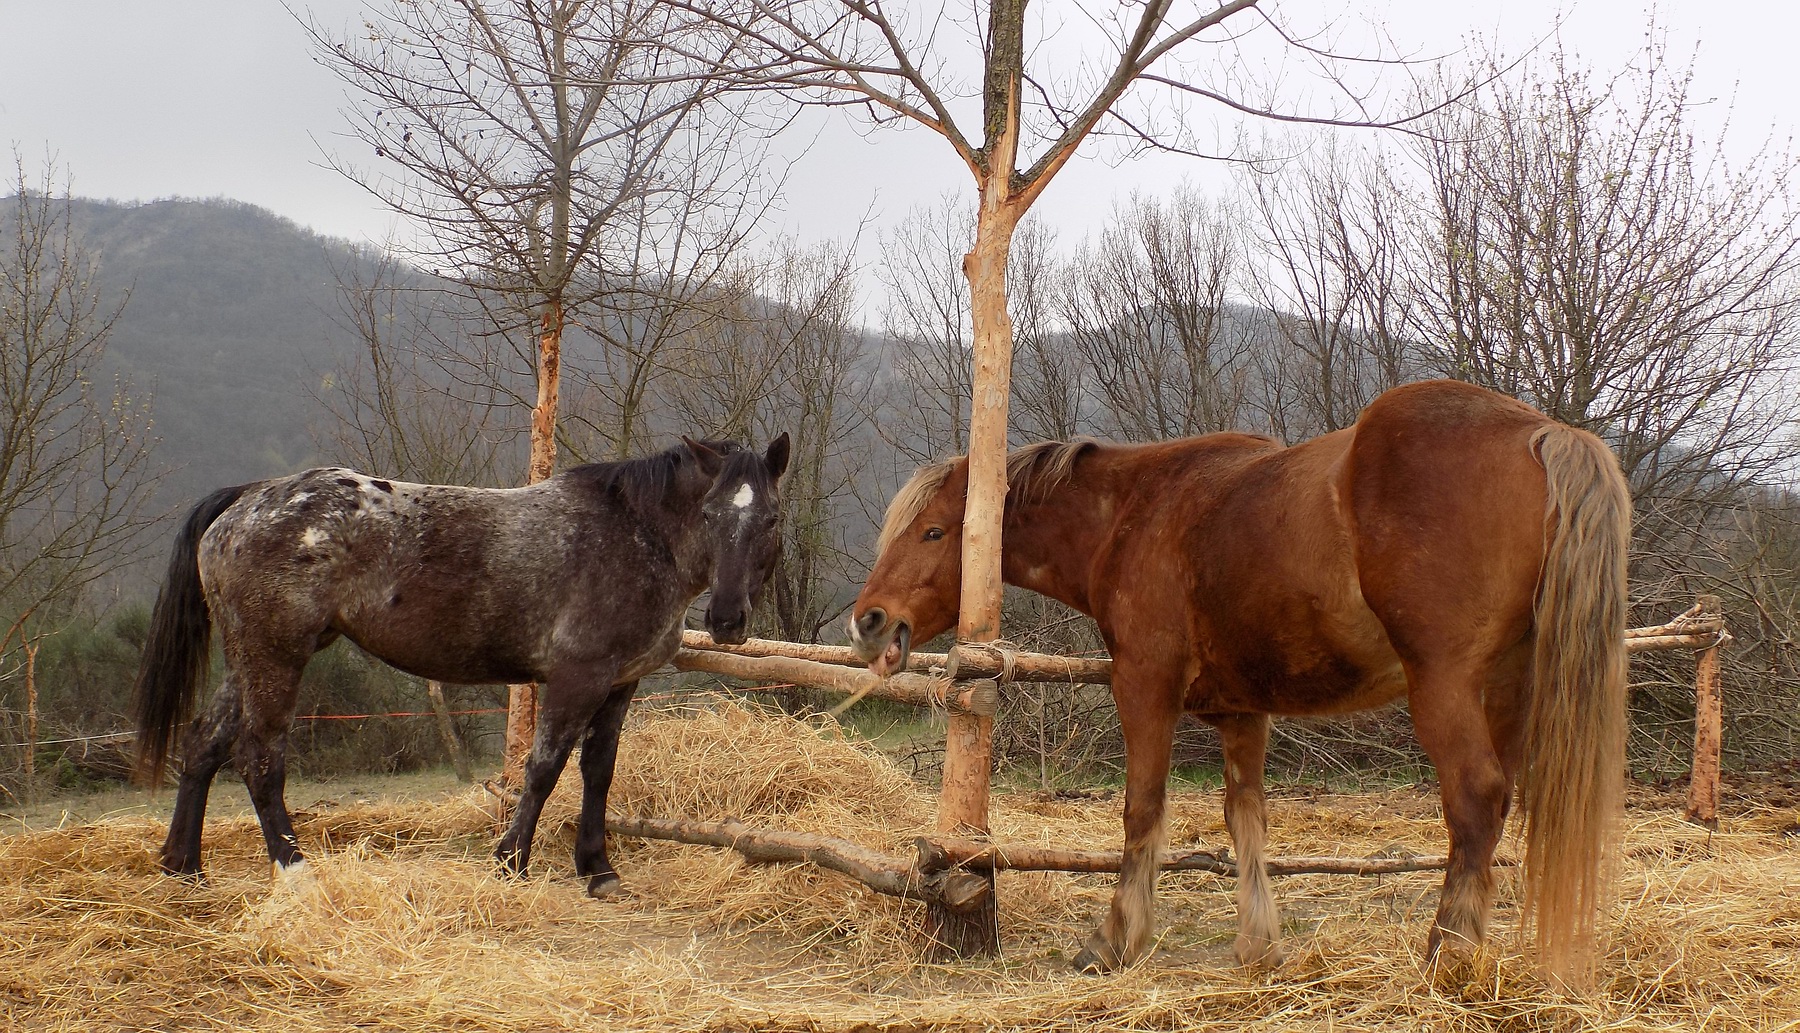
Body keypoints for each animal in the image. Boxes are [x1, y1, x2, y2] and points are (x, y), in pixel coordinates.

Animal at [133, 434, 790, 895]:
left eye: (770, 519)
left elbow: (597, 772)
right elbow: (544, 769)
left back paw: (184, 866)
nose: (728, 619)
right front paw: (510, 861)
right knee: (259, 760)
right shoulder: (576, 680)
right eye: (709, 515)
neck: (633, 534)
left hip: (247, 658)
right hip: (277, 657)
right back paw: (296, 871)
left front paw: (597, 867)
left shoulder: (619, 685)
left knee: (203, 744)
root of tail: (247, 497)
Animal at [848, 380, 1630, 979]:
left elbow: (1142, 810)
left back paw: (1445, 955)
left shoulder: (1144, 689)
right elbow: (1245, 817)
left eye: (934, 531)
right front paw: (1259, 946)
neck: (1133, 513)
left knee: (1475, 802)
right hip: (1509, 691)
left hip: (1444, 688)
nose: (869, 620)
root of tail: (1543, 434)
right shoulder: (1245, 714)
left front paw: (1114, 940)